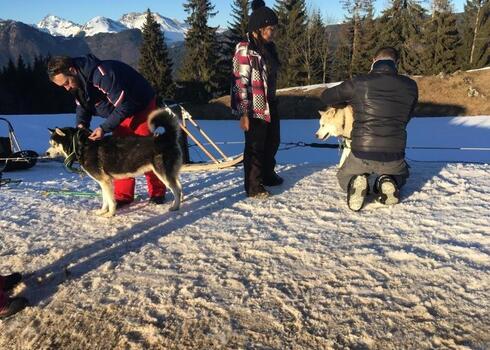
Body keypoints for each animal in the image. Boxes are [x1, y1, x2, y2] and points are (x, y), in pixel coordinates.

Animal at [46, 107, 183, 216]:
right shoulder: (104, 182)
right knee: (179, 187)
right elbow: (106, 199)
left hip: (162, 173)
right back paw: (181, 202)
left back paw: (175, 207)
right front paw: (102, 211)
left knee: (176, 190)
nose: (46, 153)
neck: (81, 145)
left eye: (53, 144)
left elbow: (111, 201)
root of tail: (165, 137)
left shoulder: (105, 181)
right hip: (169, 173)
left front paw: (110, 214)